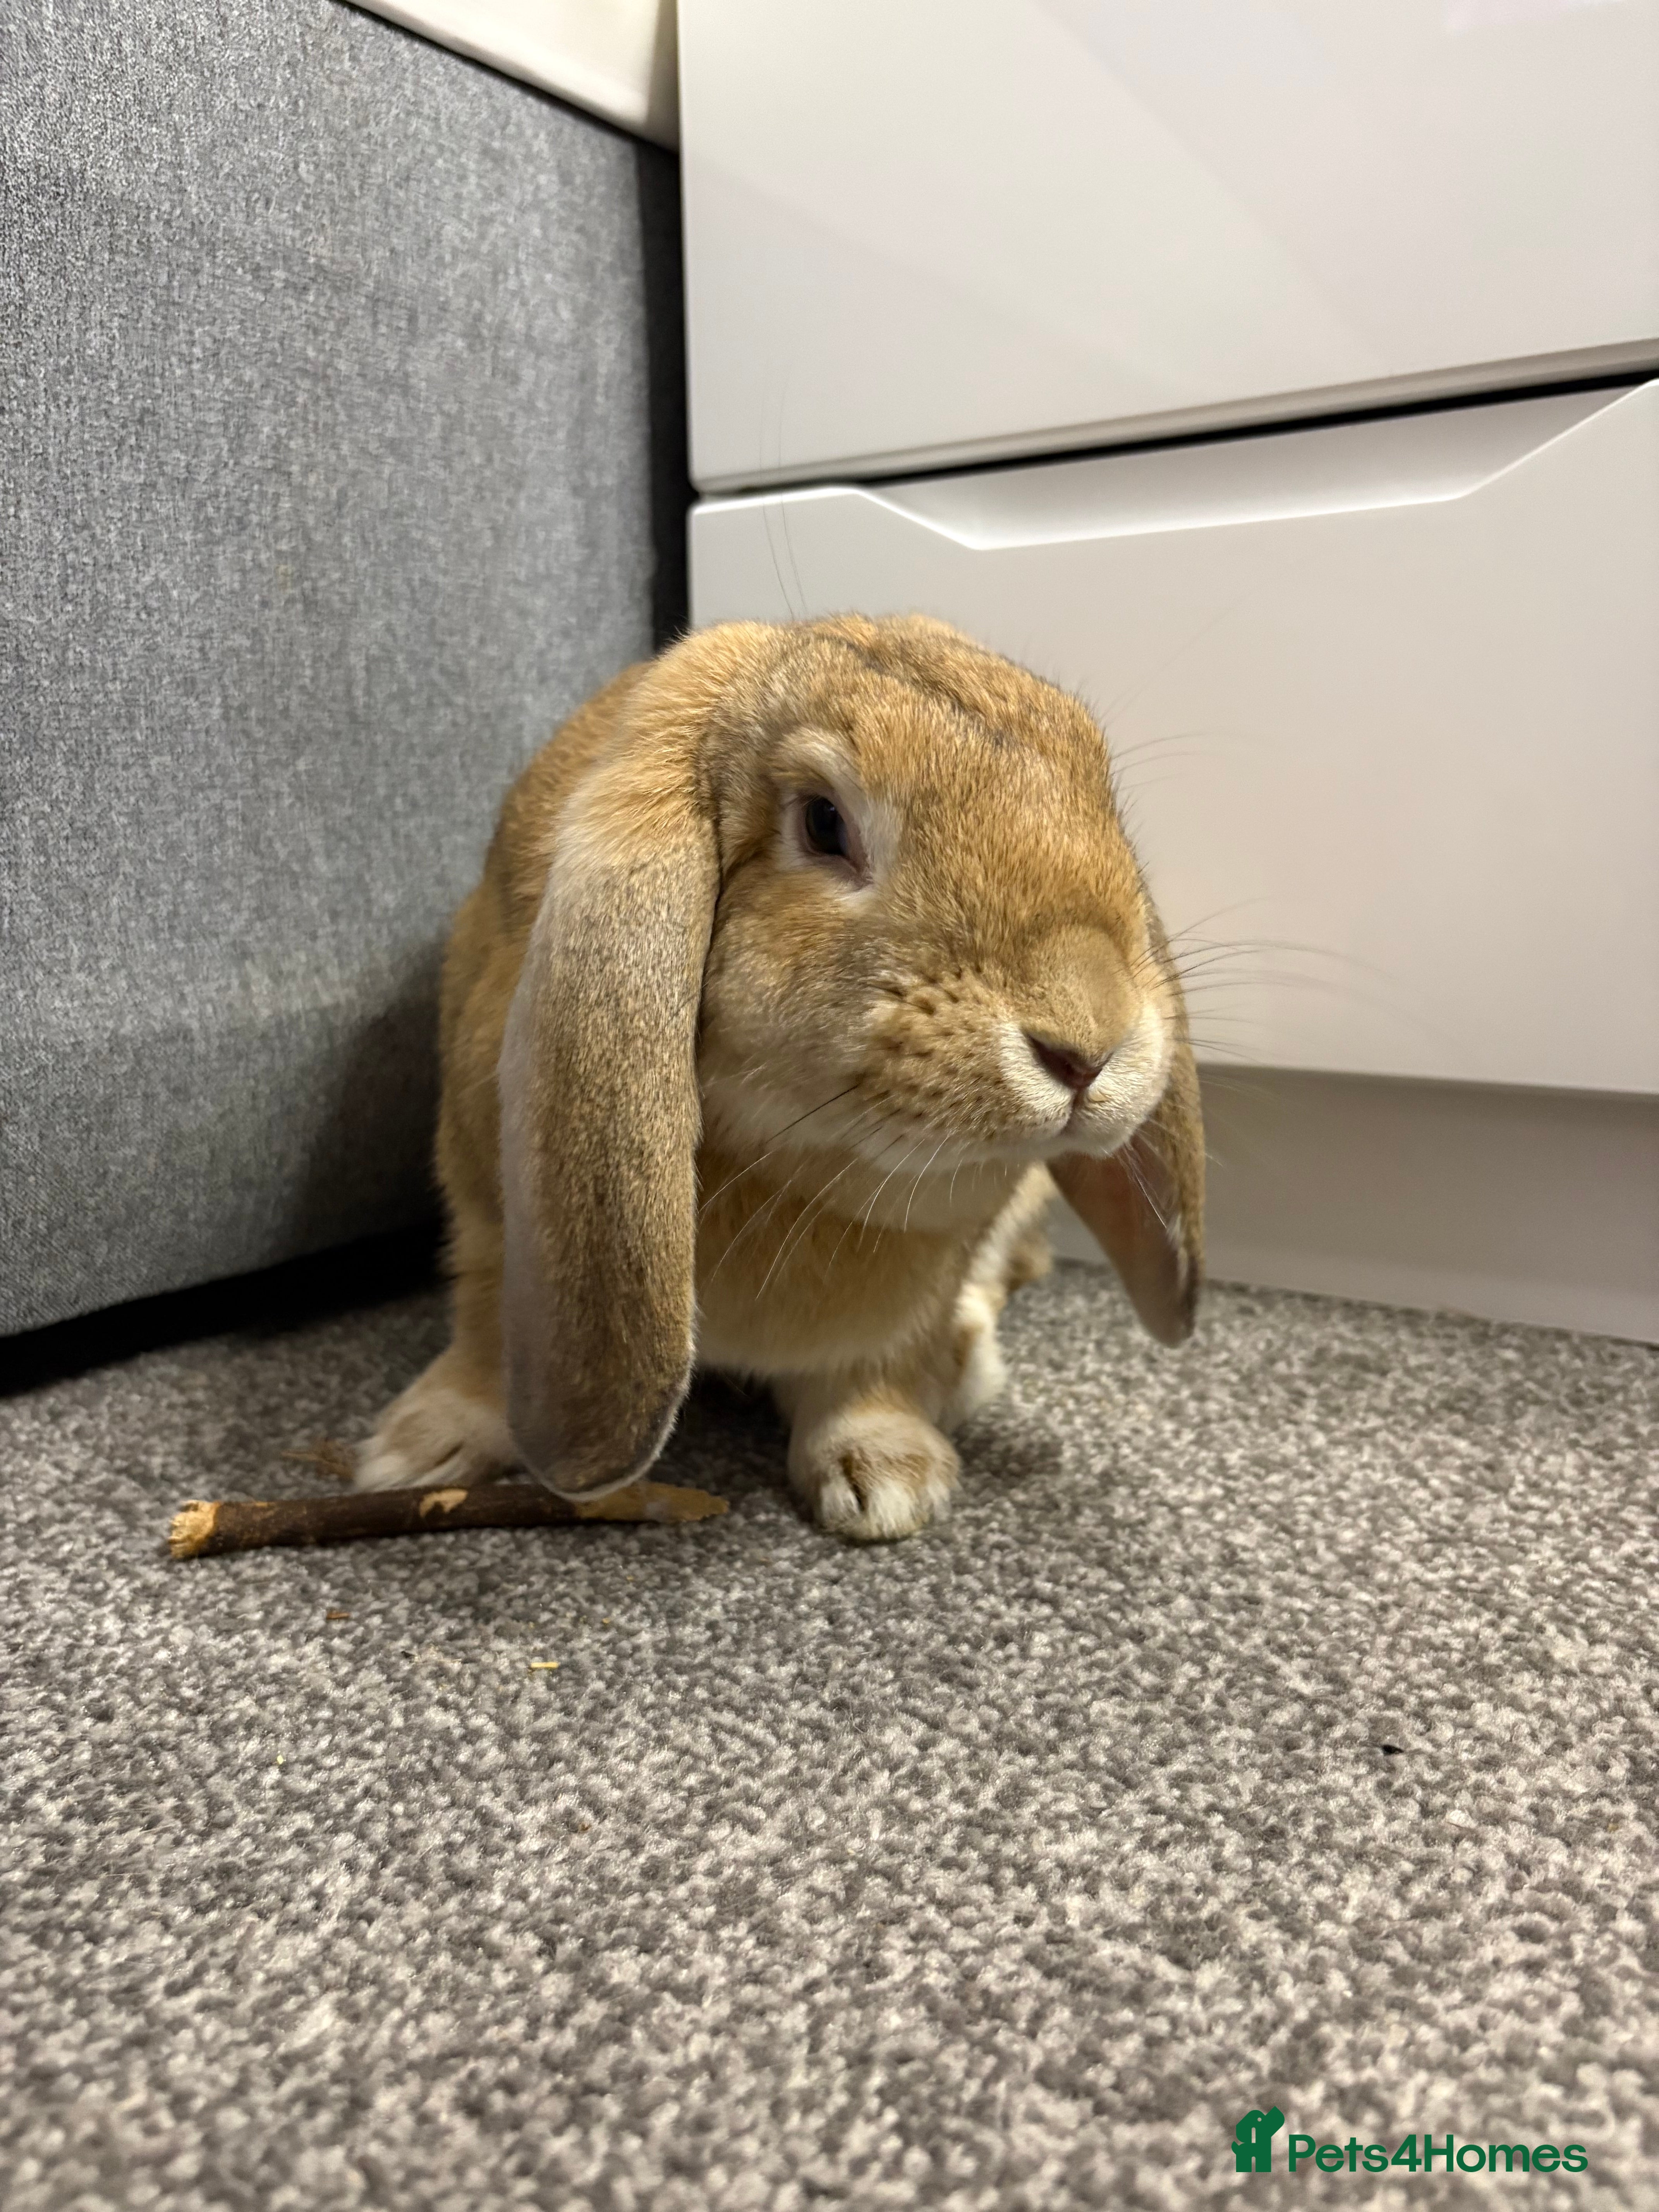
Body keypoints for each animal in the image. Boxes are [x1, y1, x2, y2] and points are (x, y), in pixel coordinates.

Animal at [357, 614, 1204, 1540]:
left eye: (1099, 791)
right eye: (824, 823)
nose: (1090, 1045)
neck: (787, 1170)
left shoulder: (914, 1297)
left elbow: (878, 1366)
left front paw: (888, 1482)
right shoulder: (492, 1224)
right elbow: (487, 1334)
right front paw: (412, 1454)